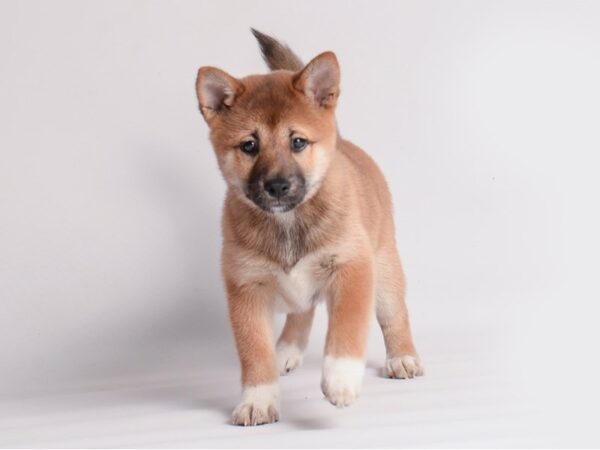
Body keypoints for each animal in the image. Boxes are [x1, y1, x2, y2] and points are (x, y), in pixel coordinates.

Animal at [196, 30, 422, 426]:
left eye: (298, 141)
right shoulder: (246, 288)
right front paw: (258, 399)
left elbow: (346, 331)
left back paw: (402, 357)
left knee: (395, 315)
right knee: (302, 311)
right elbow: (254, 351)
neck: (288, 222)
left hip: (385, 273)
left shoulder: (352, 268)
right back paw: (286, 350)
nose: (276, 186)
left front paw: (341, 380)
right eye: (249, 145)